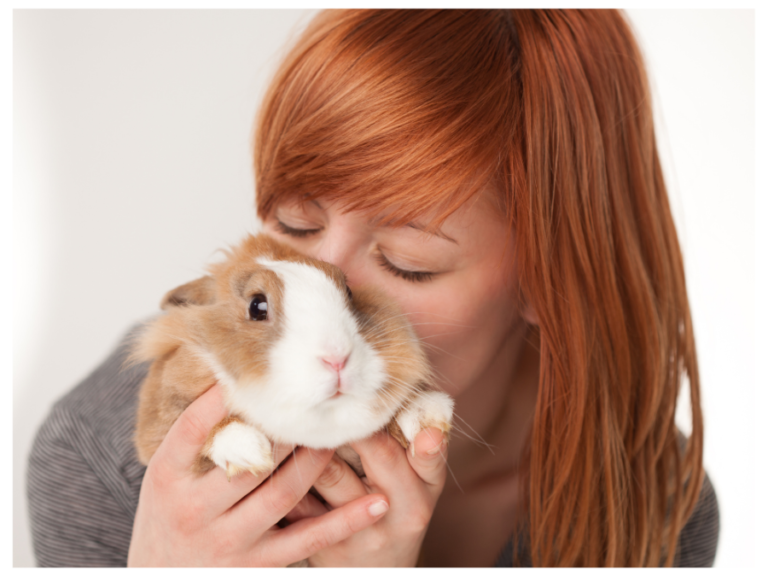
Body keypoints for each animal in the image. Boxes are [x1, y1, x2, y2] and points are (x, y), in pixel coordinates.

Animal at [130, 232, 454, 481]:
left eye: (348, 291)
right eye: (257, 306)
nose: (337, 359)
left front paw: (428, 412)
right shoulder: (157, 428)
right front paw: (246, 450)